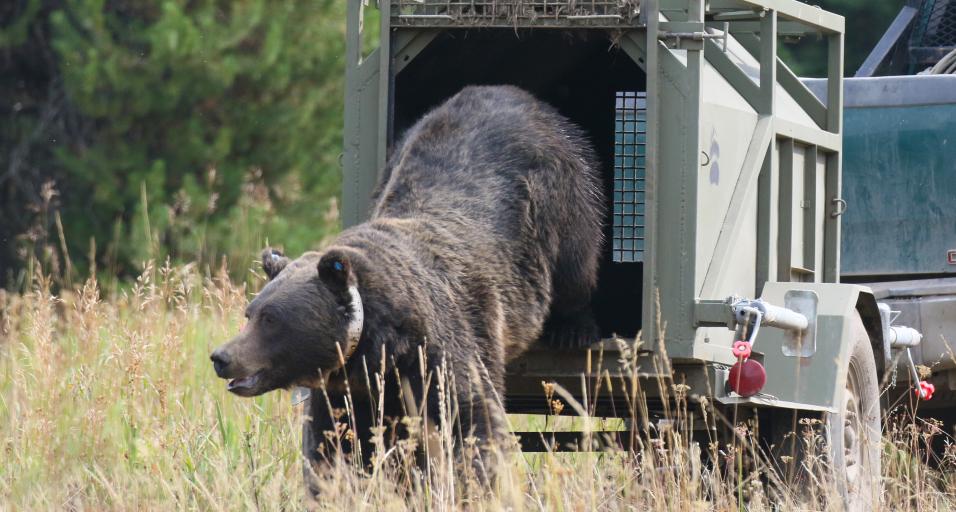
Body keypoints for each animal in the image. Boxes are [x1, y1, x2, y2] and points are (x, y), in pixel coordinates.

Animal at [210, 85, 605, 485]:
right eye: (250, 313)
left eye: (272, 319)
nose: (222, 357)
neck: (379, 346)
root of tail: (514, 92)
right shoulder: (346, 388)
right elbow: (334, 442)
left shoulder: (442, 348)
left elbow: (469, 421)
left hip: (560, 191)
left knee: (576, 263)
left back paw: (573, 329)